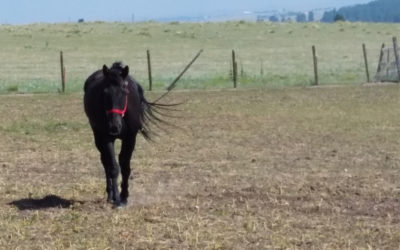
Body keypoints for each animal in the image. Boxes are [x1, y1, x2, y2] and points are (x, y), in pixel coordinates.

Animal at [83, 61, 167, 206]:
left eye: (125, 92)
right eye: (104, 93)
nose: (114, 127)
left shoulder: (130, 138)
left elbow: (125, 166)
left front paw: (125, 196)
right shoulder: (106, 138)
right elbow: (113, 167)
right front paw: (117, 197)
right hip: (97, 136)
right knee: (105, 162)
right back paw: (110, 194)